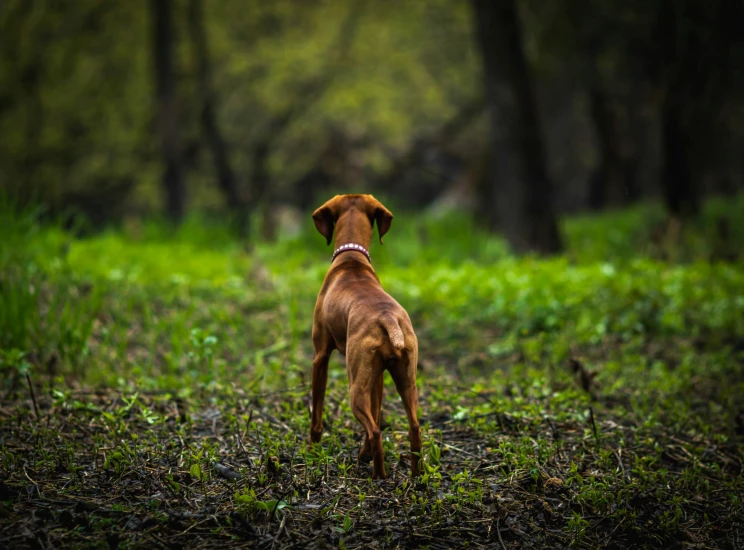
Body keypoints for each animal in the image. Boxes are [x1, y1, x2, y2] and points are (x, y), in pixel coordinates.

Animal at [310, 196, 424, 480]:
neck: (352, 259)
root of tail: (388, 317)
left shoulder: (320, 358)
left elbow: (316, 415)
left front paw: (311, 450)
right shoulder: (379, 376)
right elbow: (377, 410)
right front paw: (364, 455)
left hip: (355, 389)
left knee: (375, 431)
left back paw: (378, 476)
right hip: (406, 382)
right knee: (412, 427)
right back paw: (416, 476)